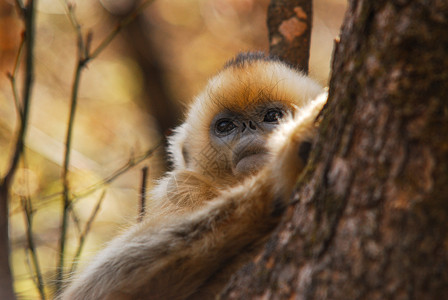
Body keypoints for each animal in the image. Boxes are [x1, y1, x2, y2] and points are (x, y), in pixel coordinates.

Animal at [58, 52, 326, 298]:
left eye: (272, 116)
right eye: (226, 126)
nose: (249, 128)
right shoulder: (181, 186)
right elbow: (97, 286)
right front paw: (285, 161)